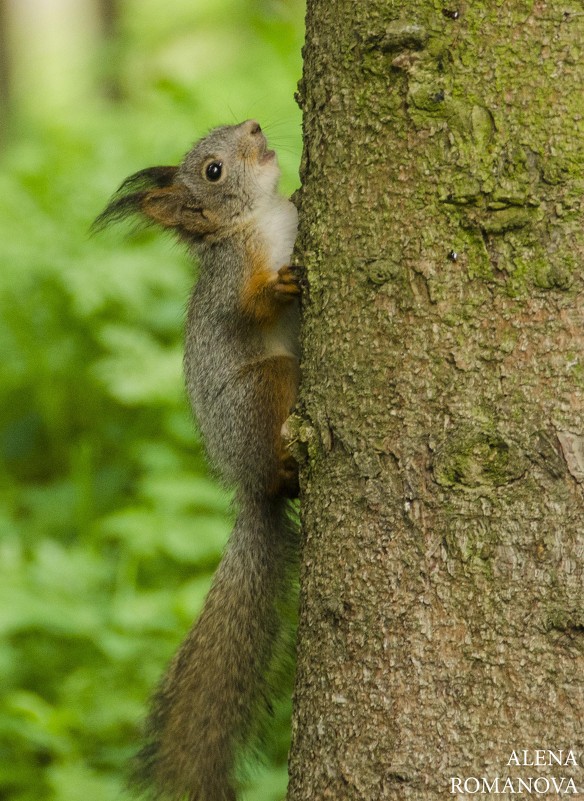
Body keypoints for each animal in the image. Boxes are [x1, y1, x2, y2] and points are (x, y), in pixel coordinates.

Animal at [95, 120, 302, 800]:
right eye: (213, 170)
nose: (256, 126)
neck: (262, 217)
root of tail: (249, 488)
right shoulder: (232, 277)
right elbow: (247, 308)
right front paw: (283, 286)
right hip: (266, 386)